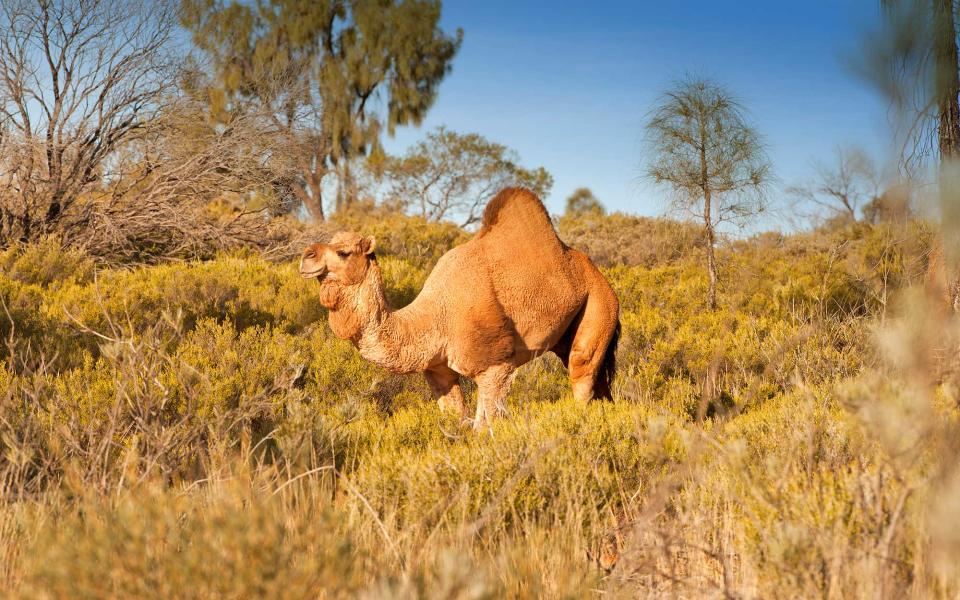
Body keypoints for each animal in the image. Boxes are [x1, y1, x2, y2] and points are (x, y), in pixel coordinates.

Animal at [300, 190, 624, 428]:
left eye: (344, 252)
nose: (306, 256)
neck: (434, 319)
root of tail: (597, 272)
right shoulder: (438, 372)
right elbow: (460, 422)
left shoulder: (495, 367)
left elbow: (486, 427)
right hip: (565, 336)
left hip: (600, 304)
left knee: (582, 374)